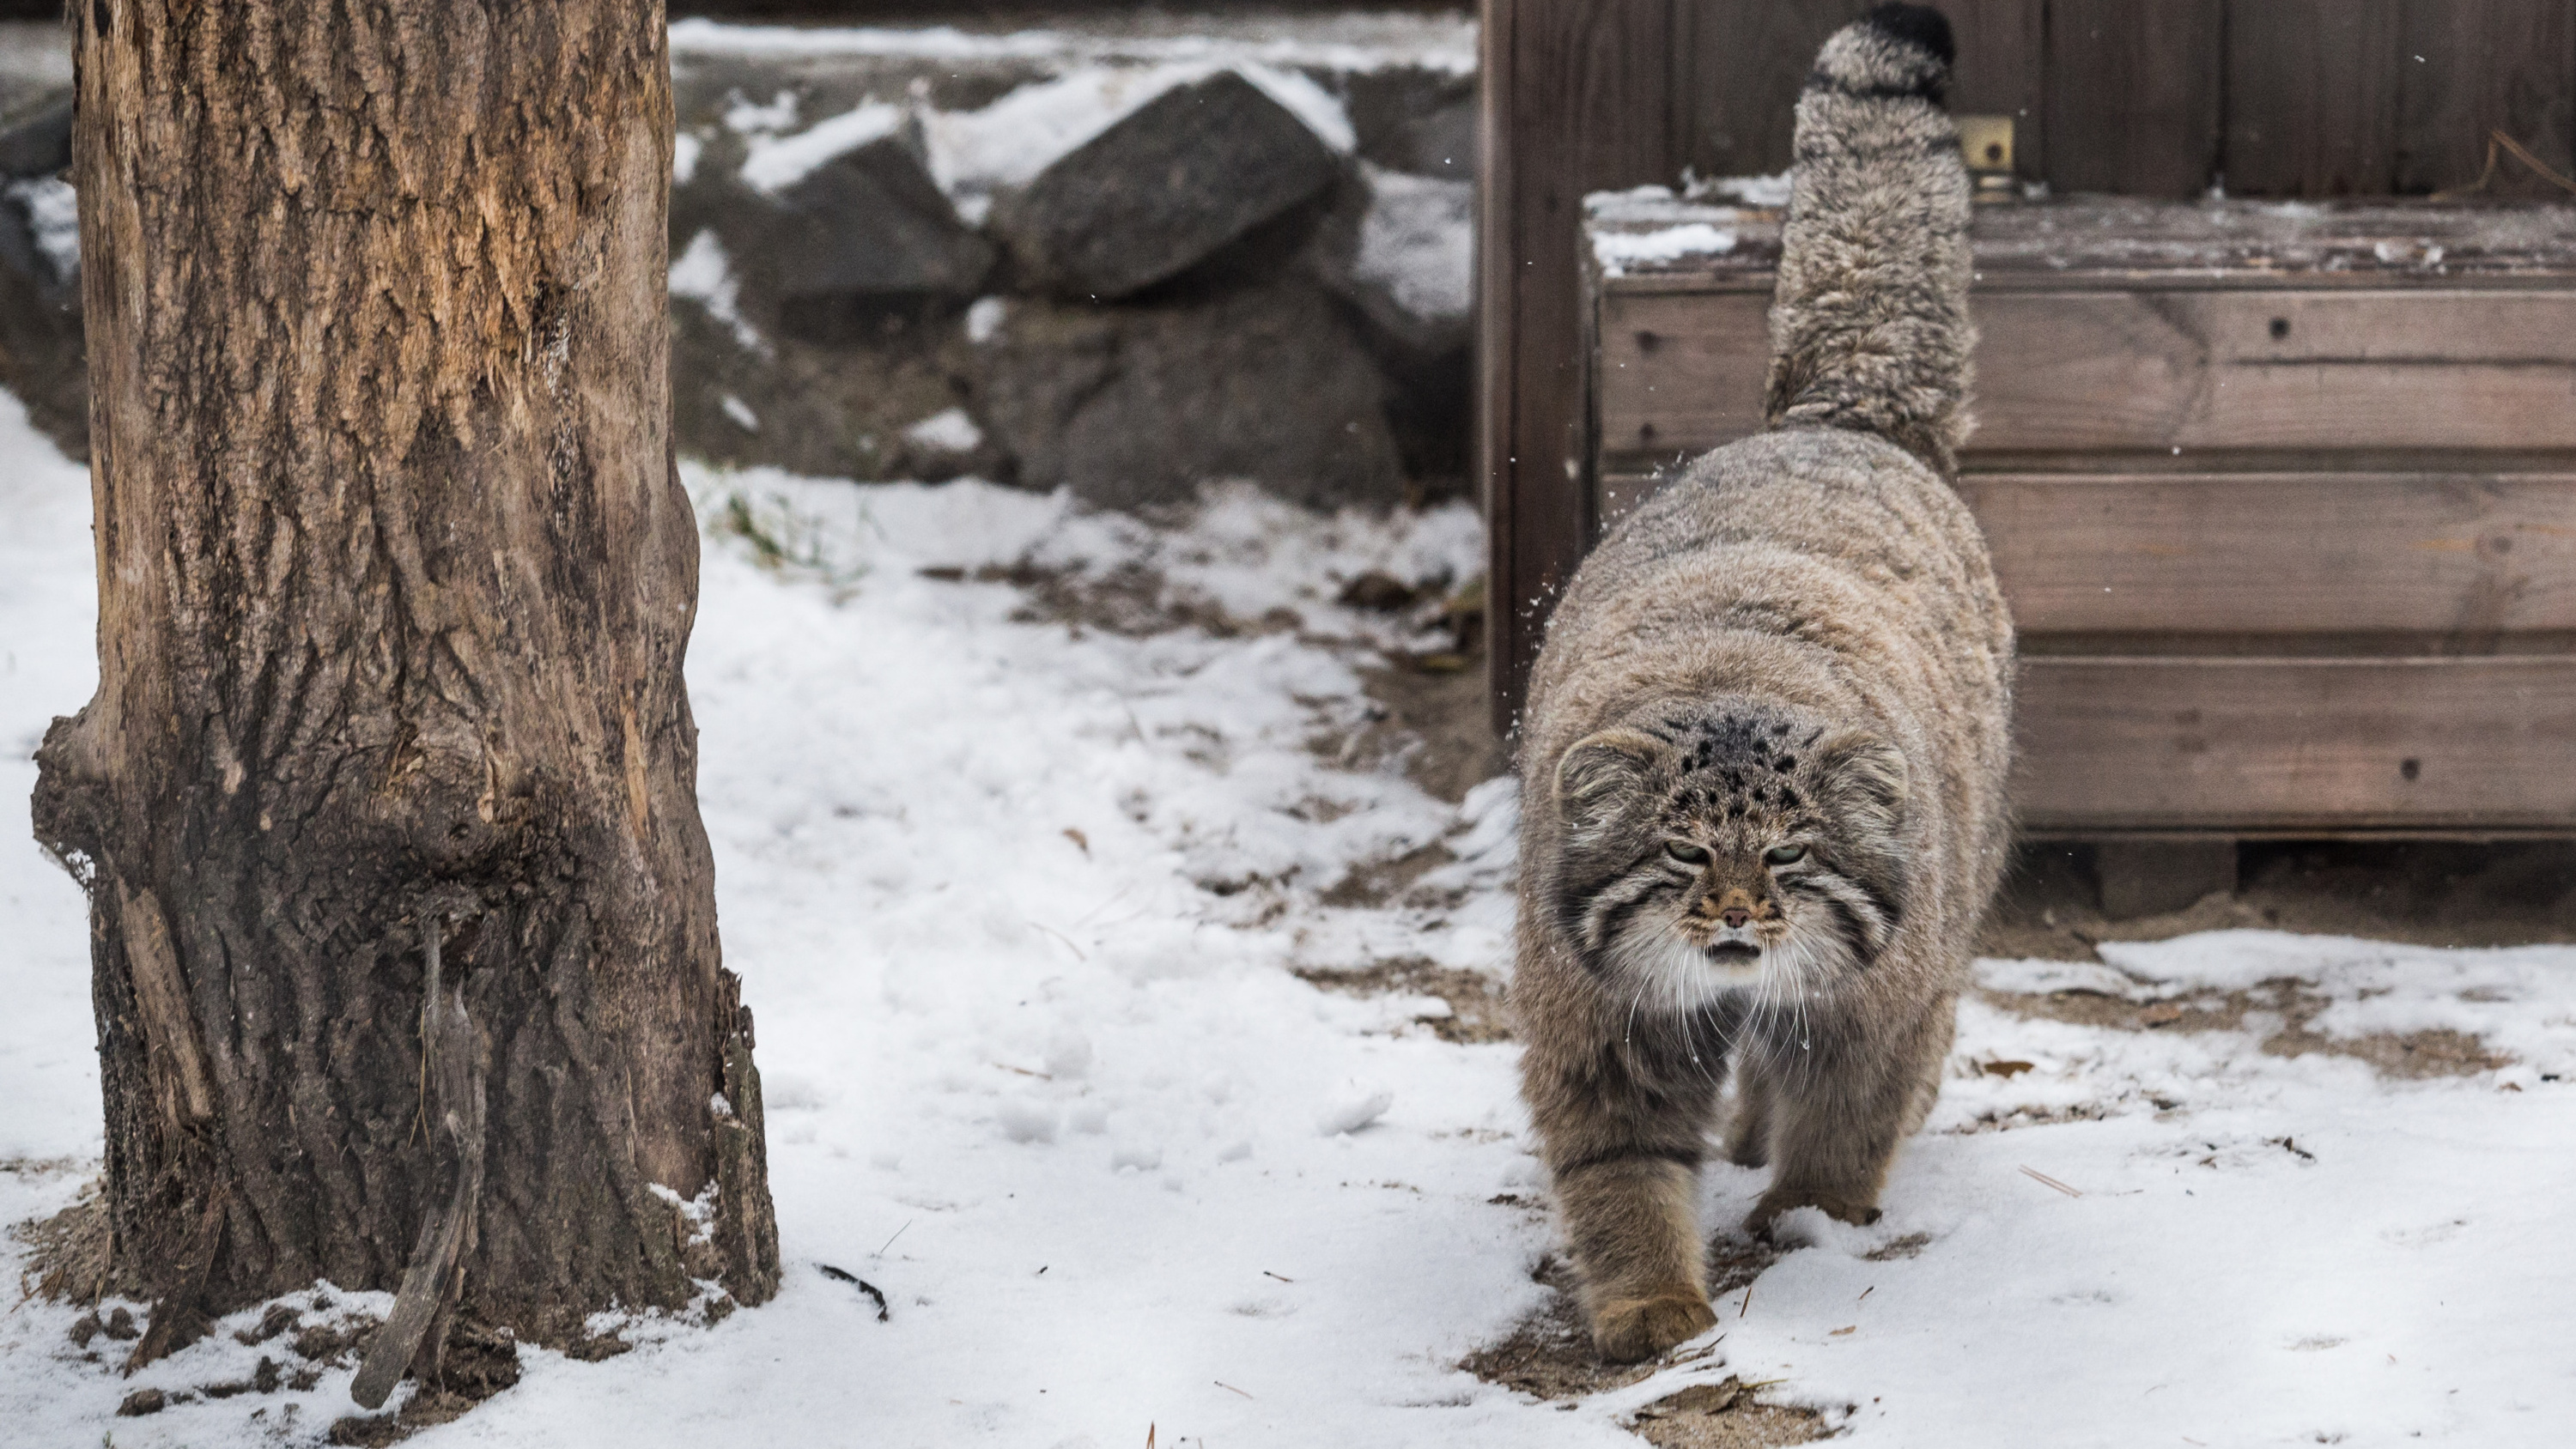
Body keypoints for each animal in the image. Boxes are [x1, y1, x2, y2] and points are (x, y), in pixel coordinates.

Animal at [1504, 3, 2009, 1359]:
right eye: (1683, 852)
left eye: (1789, 855)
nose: (1736, 916)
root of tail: (1840, 416)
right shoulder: (1597, 1023)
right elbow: (1621, 1171)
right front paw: (1652, 1305)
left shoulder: (1877, 1002)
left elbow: (1849, 1112)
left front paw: (1815, 1221)